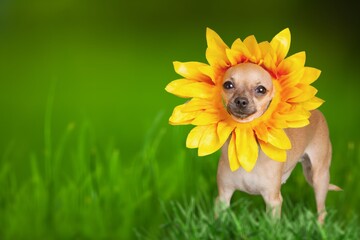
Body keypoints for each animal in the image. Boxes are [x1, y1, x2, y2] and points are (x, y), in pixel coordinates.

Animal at [215, 62, 342, 223]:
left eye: (261, 89)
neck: (248, 142)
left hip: (319, 178)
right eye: (228, 85)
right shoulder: (223, 197)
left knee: (322, 211)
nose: (241, 101)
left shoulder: (273, 201)